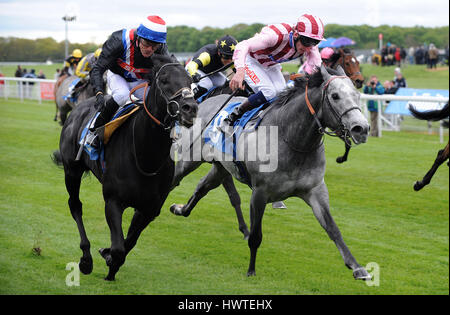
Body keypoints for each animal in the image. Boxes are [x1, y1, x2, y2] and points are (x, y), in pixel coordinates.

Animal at [52, 55, 197, 282]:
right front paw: (109, 266)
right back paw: (86, 259)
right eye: (164, 79)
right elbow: (119, 248)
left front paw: (107, 255)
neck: (146, 157)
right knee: (75, 205)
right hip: (72, 171)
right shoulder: (113, 201)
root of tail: (79, 107)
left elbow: (129, 242)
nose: (190, 108)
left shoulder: (149, 209)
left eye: (190, 80)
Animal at [171, 65, 370, 282]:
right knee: (174, 179)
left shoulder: (315, 190)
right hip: (189, 159)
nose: (362, 128)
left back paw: (180, 209)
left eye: (356, 94)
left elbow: (333, 229)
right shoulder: (260, 193)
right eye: (335, 96)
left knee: (202, 187)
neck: (290, 138)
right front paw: (251, 270)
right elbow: (256, 236)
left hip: (220, 168)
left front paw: (357, 267)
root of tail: (203, 103)